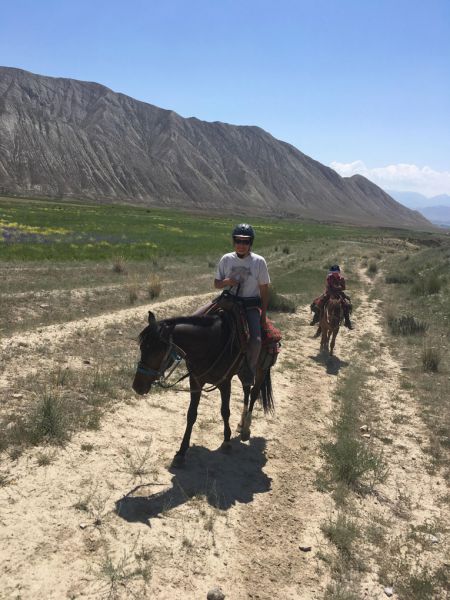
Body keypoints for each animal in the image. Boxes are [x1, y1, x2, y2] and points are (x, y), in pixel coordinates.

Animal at [132, 312, 276, 466]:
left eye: (157, 352)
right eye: (142, 348)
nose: (137, 386)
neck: (210, 345)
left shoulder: (225, 383)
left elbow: (225, 411)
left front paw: (226, 441)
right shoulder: (196, 382)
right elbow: (191, 415)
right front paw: (181, 452)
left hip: (261, 370)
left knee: (254, 393)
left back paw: (246, 429)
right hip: (243, 373)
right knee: (246, 391)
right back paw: (241, 424)